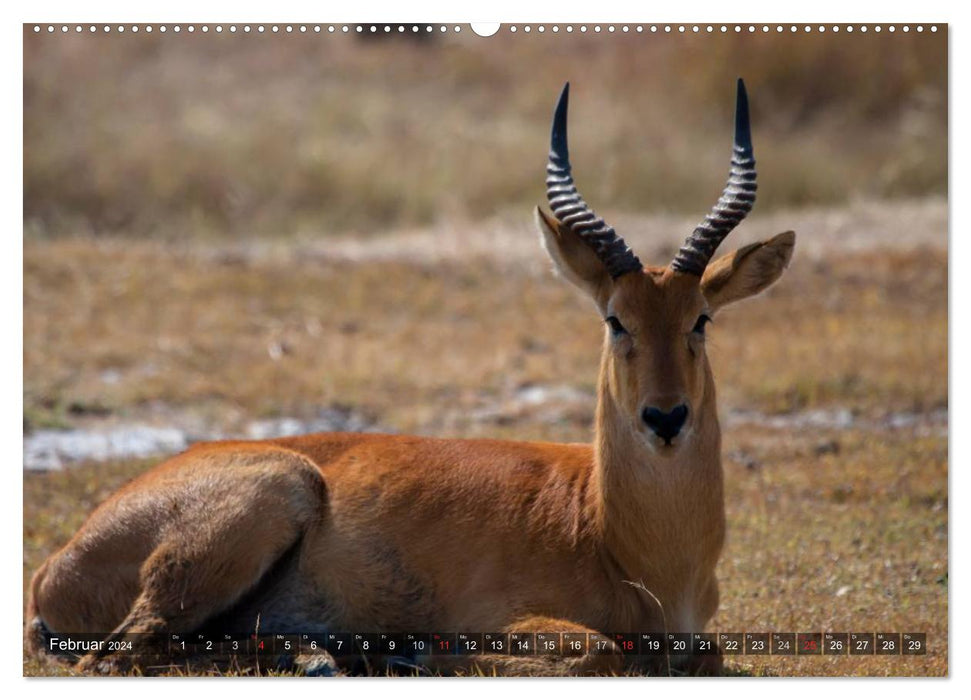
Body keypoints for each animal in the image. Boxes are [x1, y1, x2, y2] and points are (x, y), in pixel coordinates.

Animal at [26, 79, 792, 676]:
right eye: (615, 319)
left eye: (700, 319)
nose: (665, 419)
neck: (615, 535)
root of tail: (55, 565)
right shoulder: (508, 621)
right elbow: (599, 648)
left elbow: (709, 651)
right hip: (271, 497)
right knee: (122, 652)